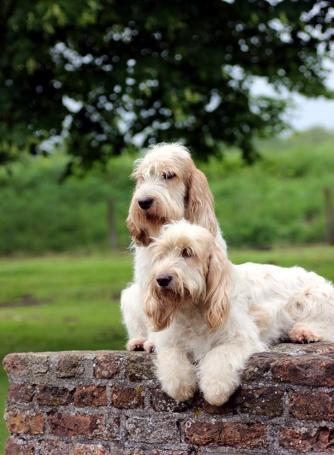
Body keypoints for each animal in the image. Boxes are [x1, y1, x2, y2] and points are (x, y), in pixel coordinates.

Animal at [144, 221, 334, 406]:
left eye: (187, 252)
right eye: (162, 255)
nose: (161, 279)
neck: (194, 308)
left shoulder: (239, 337)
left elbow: (219, 354)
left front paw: (215, 389)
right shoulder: (170, 340)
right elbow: (172, 358)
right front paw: (181, 387)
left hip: (314, 296)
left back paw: (303, 332)